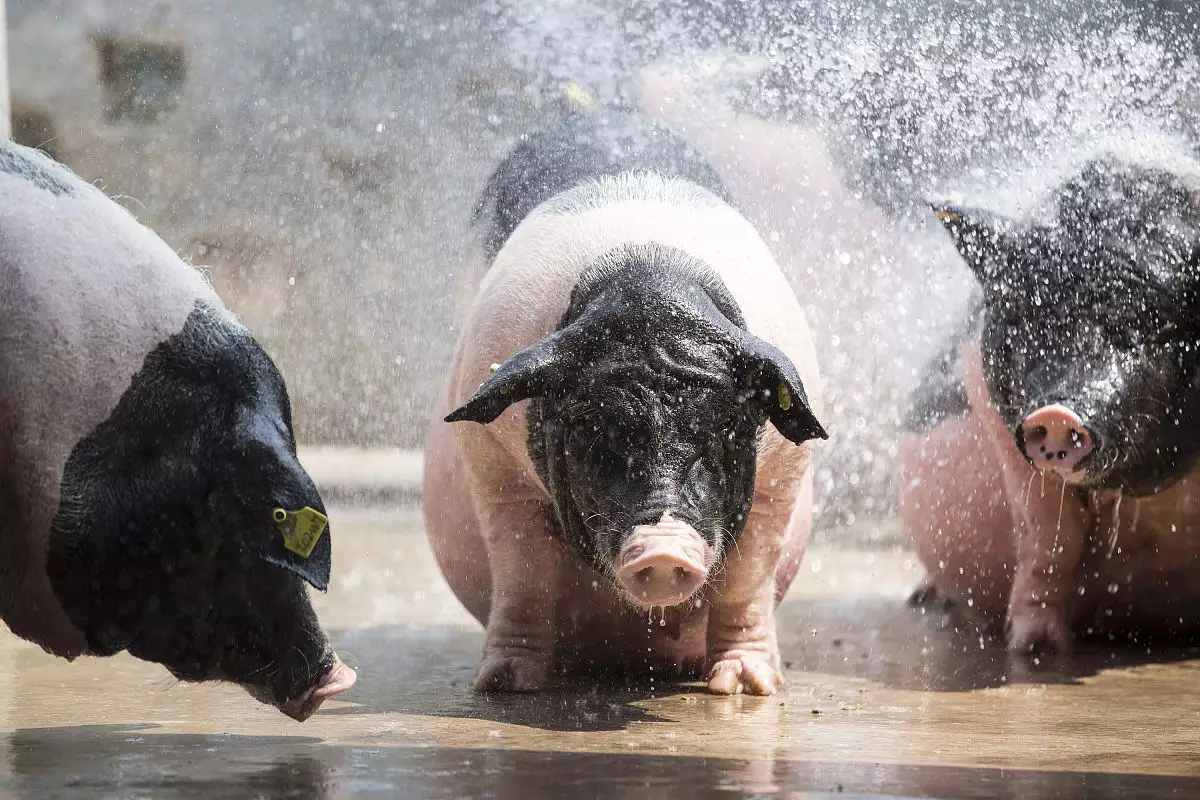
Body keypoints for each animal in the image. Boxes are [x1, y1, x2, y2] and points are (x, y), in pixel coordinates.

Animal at [422, 109, 825, 695]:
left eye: (723, 428)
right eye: (595, 430)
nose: (663, 546)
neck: (649, 276)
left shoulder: (783, 475)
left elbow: (747, 581)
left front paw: (745, 689)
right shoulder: (493, 465)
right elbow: (523, 572)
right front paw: (504, 685)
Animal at [902, 153, 1200, 662]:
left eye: (1156, 324)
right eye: (1027, 319)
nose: (1057, 413)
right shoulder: (995, 415)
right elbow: (1049, 539)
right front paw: (1035, 650)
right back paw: (922, 600)